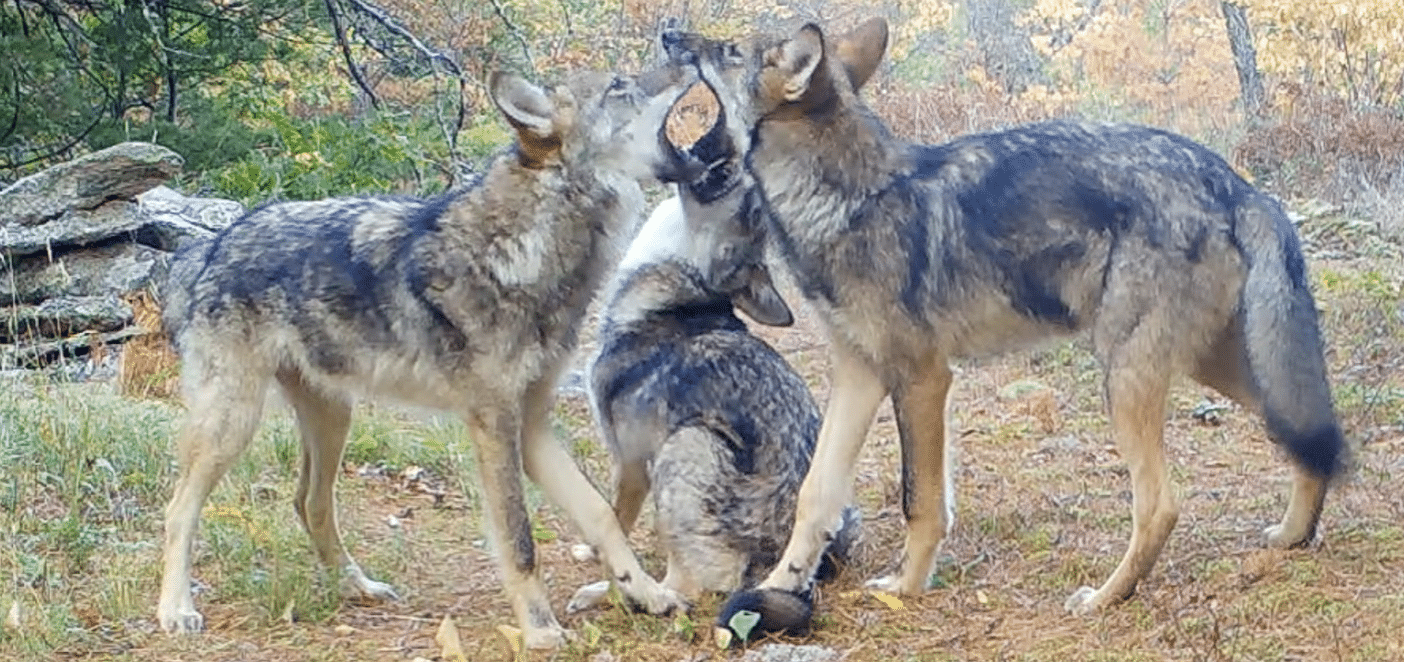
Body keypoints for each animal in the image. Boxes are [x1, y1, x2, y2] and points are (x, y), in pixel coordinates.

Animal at [157, 64, 702, 647]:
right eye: (621, 87)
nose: (684, 49)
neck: (529, 247)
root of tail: (212, 245)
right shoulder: (493, 423)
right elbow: (520, 540)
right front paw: (539, 629)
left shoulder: (532, 425)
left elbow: (601, 514)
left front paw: (646, 593)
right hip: (234, 423)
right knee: (180, 508)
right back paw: (176, 609)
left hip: (334, 417)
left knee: (309, 502)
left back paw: (356, 586)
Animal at [564, 125, 859, 636]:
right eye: (757, 207)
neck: (676, 288)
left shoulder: (630, 462)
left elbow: (614, 522)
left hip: (686, 444)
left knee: (690, 587)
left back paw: (612, 595)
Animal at [665, 18, 1347, 645]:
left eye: (728, 49)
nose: (672, 31)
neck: (849, 198)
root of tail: (1237, 183)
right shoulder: (859, 374)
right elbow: (816, 494)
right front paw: (780, 586)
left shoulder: (922, 378)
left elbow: (919, 499)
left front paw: (906, 588)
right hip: (1217, 367)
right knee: (1307, 437)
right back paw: (1291, 537)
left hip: (1126, 379)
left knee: (1160, 505)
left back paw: (1107, 597)